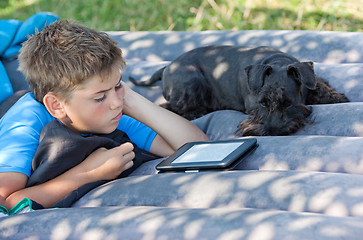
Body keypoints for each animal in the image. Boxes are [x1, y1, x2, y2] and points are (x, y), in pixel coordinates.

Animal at [131, 45, 350, 135]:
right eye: (262, 102)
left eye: (288, 102)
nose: (273, 131)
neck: (277, 62)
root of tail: (166, 67)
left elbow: (319, 85)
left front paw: (336, 97)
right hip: (191, 80)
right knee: (169, 106)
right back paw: (196, 112)